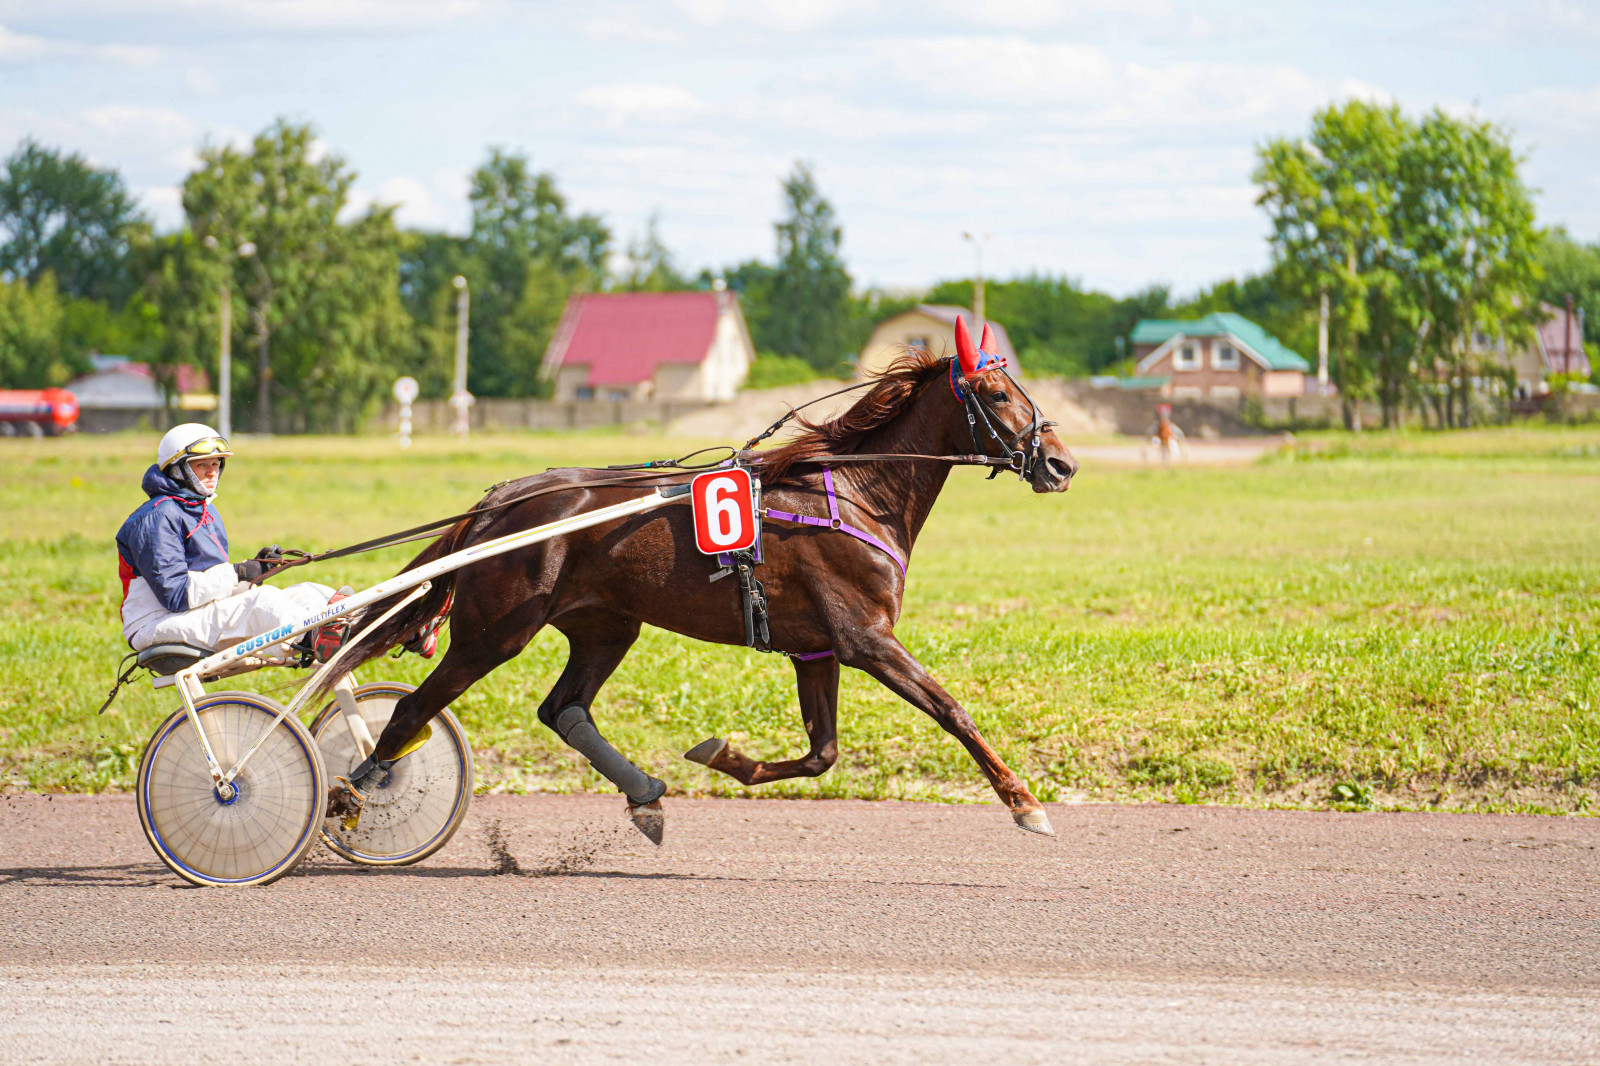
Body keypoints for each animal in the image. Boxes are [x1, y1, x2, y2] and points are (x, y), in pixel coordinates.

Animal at [324, 315, 1075, 838]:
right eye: (996, 393)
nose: (1061, 464)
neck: (855, 492)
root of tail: (499, 501)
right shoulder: (864, 638)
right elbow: (952, 710)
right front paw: (1024, 802)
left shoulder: (817, 648)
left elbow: (822, 753)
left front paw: (723, 756)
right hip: (494, 633)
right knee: (416, 712)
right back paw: (352, 792)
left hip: (606, 625)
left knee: (563, 708)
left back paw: (644, 796)